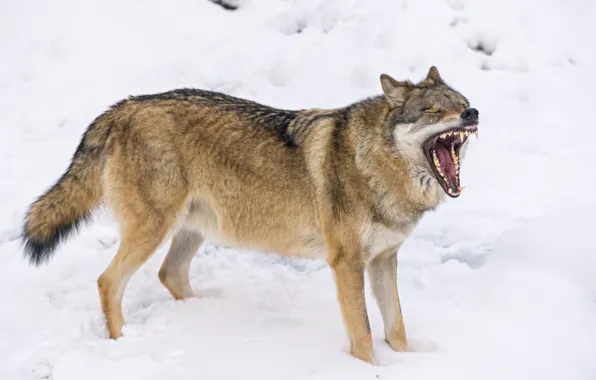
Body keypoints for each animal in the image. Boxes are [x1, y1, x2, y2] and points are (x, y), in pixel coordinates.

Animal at [21, 67, 480, 364]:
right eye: (433, 112)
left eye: (463, 104)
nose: (472, 114)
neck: (374, 165)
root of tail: (124, 106)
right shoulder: (346, 262)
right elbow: (365, 336)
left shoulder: (384, 259)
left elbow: (396, 326)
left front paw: (411, 362)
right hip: (154, 228)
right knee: (108, 281)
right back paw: (123, 344)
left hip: (193, 230)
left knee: (170, 275)